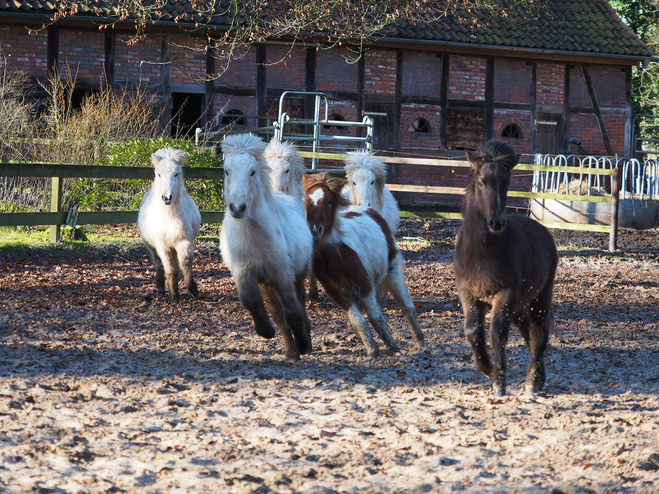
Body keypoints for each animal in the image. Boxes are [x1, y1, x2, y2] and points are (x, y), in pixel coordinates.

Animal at [137, 145, 201, 302]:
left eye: (176, 174)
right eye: (159, 174)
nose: (167, 197)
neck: (170, 217)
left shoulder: (184, 241)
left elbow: (185, 263)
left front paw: (193, 289)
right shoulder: (163, 246)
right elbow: (171, 269)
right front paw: (174, 296)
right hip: (153, 248)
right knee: (159, 265)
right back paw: (161, 290)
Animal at [220, 133, 316, 360]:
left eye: (252, 171)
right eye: (227, 170)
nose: (237, 208)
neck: (253, 235)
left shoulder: (283, 273)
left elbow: (293, 310)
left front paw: (303, 343)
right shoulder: (244, 272)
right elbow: (252, 301)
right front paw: (266, 331)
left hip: (296, 274)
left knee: (299, 303)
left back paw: (304, 344)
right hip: (267, 283)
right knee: (278, 313)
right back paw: (291, 352)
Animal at [302, 172, 426, 356]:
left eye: (330, 201)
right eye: (307, 200)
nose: (314, 230)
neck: (338, 253)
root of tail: (369, 210)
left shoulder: (365, 287)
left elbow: (376, 318)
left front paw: (393, 348)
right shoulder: (340, 296)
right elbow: (358, 322)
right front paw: (372, 351)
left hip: (392, 272)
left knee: (406, 306)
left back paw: (419, 340)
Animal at [456, 141, 560, 396]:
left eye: (507, 182)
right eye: (482, 181)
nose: (497, 223)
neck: (483, 252)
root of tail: (543, 231)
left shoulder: (505, 295)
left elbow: (497, 332)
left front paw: (498, 382)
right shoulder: (468, 294)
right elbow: (472, 330)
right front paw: (486, 368)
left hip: (541, 297)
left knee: (540, 333)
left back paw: (532, 382)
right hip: (520, 307)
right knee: (529, 332)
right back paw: (539, 378)